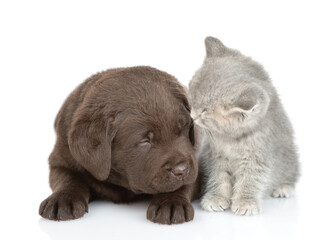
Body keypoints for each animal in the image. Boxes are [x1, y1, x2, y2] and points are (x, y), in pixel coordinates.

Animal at [188, 37, 300, 216]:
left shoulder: (258, 158)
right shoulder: (213, 156)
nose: (192, 115)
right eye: (191, 99)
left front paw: (245, 202)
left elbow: (250, 180)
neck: (232, 140)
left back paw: (284, 187)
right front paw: (216, 198)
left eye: (204, 112)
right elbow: (218, 177)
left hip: (290, 159)